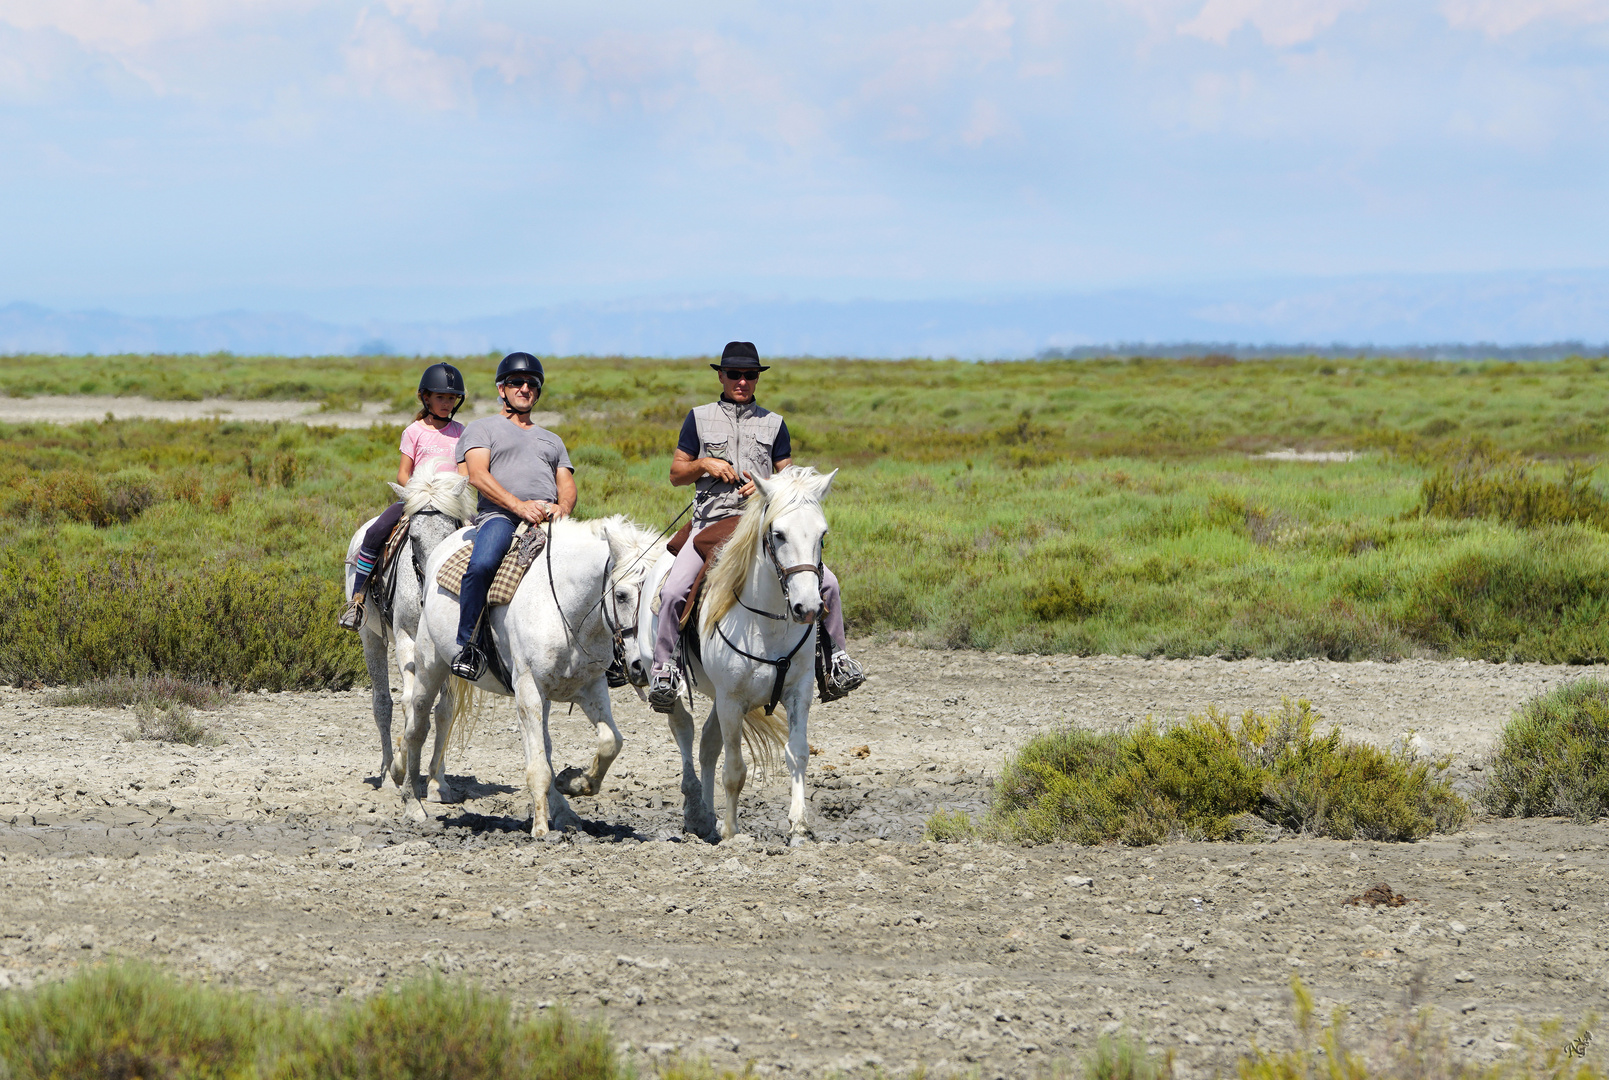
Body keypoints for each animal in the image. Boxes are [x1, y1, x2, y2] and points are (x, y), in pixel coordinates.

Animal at [405, 515, 662, 836]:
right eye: (621, 595)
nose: (641, 666)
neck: (566, 609)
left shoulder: (591, 687)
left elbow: (609, 742)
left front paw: (576, 782)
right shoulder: (529, 687)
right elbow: (539, 765)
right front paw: (540, 828)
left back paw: (565, 812)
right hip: (430, 665)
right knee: (416, 727)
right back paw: (413, 803)